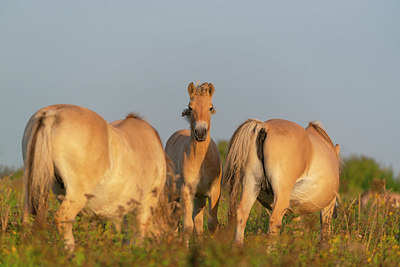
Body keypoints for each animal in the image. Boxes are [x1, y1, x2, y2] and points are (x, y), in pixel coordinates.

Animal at [21, 104, 166, 251]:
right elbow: (139, 235)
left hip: (32, 188)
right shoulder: (147, 202)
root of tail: (52, 114)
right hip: (76, 195)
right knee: (63, 219)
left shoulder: (119, 211)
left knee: (27, 219)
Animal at [165, 82, 222, 241]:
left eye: (210, 107)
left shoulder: (214, 191)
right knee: (173, 223)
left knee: (198, 222)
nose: (200, 133)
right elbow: (187, 227)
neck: (200, 160)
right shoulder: (186, 191)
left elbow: (211, 224)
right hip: (172, 195)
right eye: (191, 107)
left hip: (199, 197)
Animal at [223, 119, 340, 247]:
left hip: (251, 185)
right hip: (281, 195)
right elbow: (325, 232)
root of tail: (265, 126)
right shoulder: (328, 206)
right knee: (274, 221)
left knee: (242, 213)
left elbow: (296, 230)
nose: (336, 212)